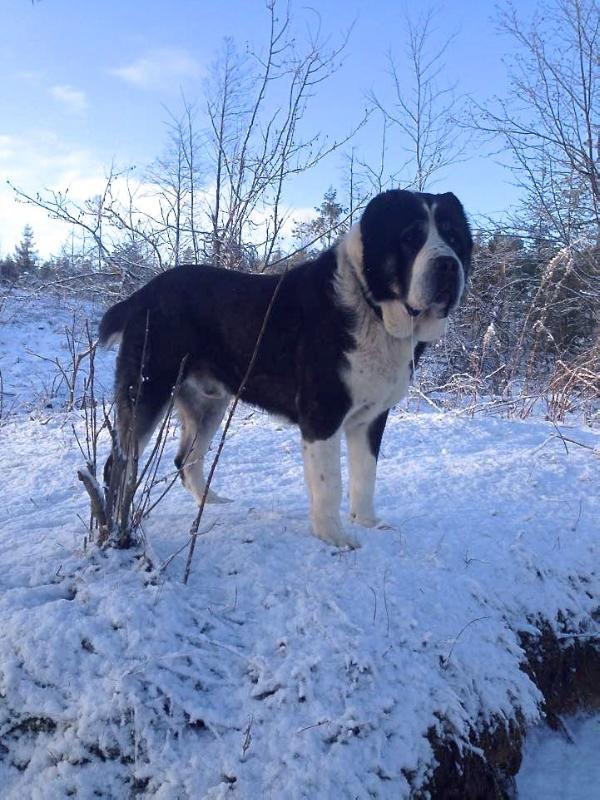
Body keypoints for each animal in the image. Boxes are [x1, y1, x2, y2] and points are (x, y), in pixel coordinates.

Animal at [99, 191, 474, 548]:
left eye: (454, 237)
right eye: (411, 237)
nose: (447, 265)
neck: (373, 309)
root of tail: (141, 295)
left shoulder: (370, 418)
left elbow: (365, 475)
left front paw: (368, 523)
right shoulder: (322, 416)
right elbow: (329, 484)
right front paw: (334, 537)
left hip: (207, 404)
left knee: (187, 460)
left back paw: (214, 506)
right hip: (147, 391)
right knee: (118, 465)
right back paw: (119, 525)